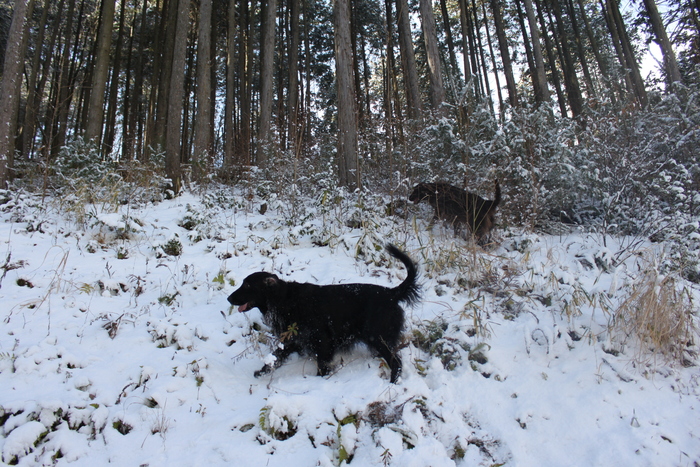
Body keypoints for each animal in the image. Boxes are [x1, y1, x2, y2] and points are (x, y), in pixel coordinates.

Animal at [227, 245, 418, 384]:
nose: (229, 298)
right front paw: (262, 372)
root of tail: (391, 293)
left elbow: (321, 366)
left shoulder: (322, 341)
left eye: (248, 285)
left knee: (396, 363)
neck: (285, 300)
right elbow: (276, 357)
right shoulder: (293, 339)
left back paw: (392, 383)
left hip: (378, 338)